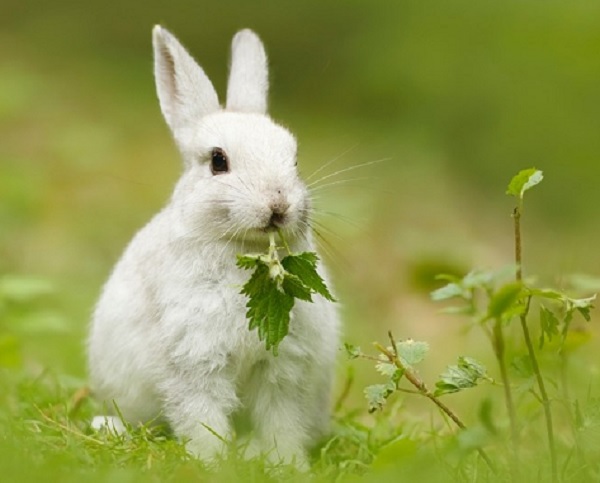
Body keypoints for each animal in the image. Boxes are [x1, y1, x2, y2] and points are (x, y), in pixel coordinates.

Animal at [89, 26, 342, 468]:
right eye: (218, 161)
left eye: (294, 160)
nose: (278, 204)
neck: (245, 254)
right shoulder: (193, 359)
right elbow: (201, 415)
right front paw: (212, 462)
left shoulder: (283, 366)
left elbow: (281, 421)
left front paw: (286, 464)